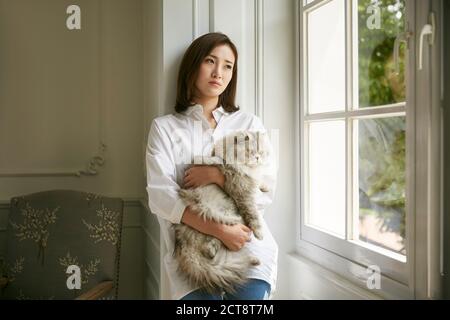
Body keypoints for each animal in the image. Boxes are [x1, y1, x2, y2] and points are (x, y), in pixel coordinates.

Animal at [173, 131, 270, 296]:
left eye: (261, 152)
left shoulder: (249, 184)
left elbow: (260, 181)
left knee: (214, 246)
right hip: (226, 214)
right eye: (250, 151)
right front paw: (259, 234)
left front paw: (265, 187)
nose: (257, 157)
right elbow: (253, 213)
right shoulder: (242, 192)